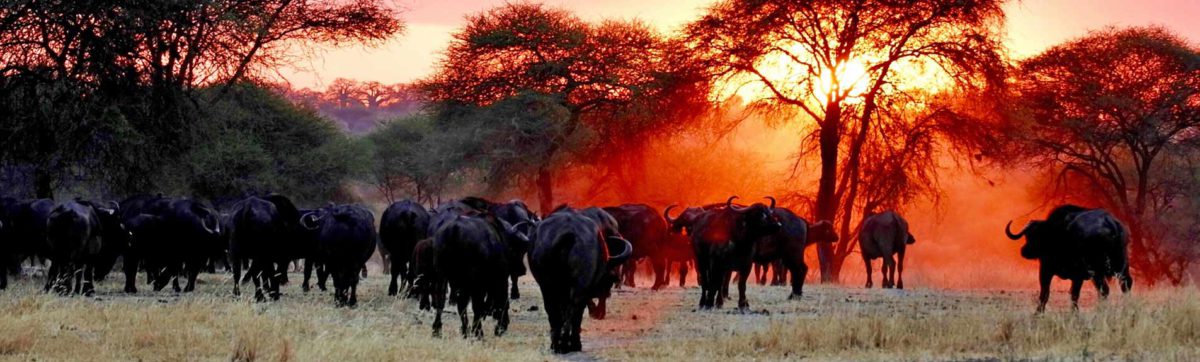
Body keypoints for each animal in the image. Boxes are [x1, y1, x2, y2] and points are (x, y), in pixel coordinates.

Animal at [530, 207, 633, 352]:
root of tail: (568, 233)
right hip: (579, 285)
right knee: (575, 310)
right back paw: (572, 343)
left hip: (547, 285)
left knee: (553, 310)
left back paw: (557, 344)